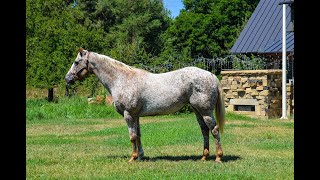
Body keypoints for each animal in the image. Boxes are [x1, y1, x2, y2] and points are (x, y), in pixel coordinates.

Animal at [64, 47, 225, 163]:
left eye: (76, 62)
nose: (67, 79)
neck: (122, 79)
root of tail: (211, 75)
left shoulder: (128, 114)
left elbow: (132, 136)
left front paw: (133, 158)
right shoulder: (136, 116)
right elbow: (138, 135)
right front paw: (141, 156)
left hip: (205, 111)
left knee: (214, 130)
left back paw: (218, 157)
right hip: (197, 110)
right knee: (204, 130)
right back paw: (204, 157)